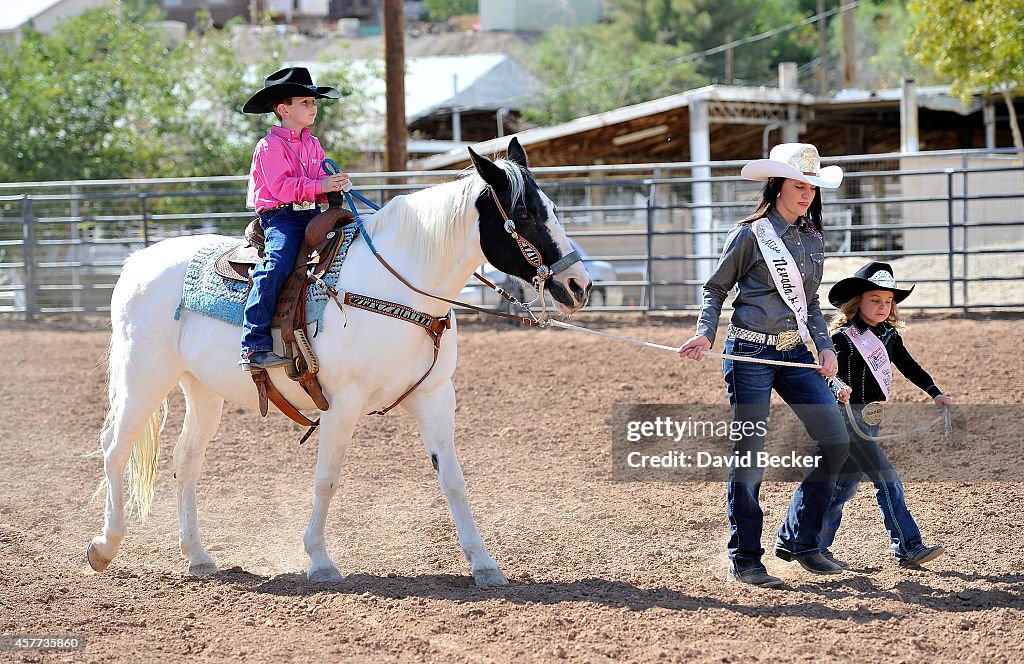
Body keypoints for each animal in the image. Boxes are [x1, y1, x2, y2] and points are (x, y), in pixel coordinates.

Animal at [88, 140, 593, 586]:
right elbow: (326, 480)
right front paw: (319, 560)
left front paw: (484, 565)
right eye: (524, 214)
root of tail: (138, 260)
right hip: (143, 378)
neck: (396, 290)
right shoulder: (341, 404)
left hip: (202, 390)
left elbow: (453, 480)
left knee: (186, 460)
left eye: (552, 207)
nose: (578, 285)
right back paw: (104, 547)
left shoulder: (435, 396)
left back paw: (197, 556)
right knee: (115, 448)